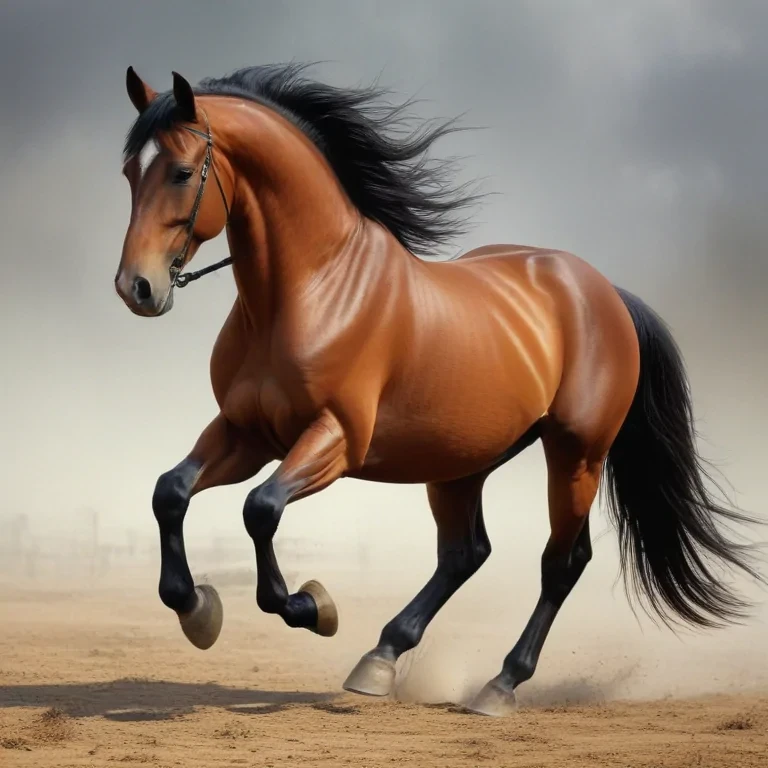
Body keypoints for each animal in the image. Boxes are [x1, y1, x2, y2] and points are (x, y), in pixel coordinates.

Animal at [114, 63, 761, 716]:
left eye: (181, 171)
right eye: (128, 173)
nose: (136, 287)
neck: (312, 289)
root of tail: (603, 291)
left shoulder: (335, 439)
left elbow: (261, 509)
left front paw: (314, 607)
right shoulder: (245, 432)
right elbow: (170, 492)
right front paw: (198, 609)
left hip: (576, 454)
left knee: (561, 562)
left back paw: (499, 685)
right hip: (460, 463)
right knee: (465, 554)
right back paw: (380, 658)